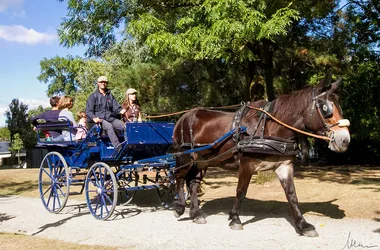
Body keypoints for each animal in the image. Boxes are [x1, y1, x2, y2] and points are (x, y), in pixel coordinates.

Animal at [172, 75, 350, 236]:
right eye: (325, 108)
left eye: (339, 105)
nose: (345, 140)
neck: (270, 128)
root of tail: (183, 117)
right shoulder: (246, 165)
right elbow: (241, 191)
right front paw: (235, 218)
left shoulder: (284, 166)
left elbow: (291, 194)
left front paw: (303, 225)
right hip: (185, 157)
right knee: (179, 177)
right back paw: (180, 207)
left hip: (203, 162)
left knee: (193, 184)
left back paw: (196, 214)